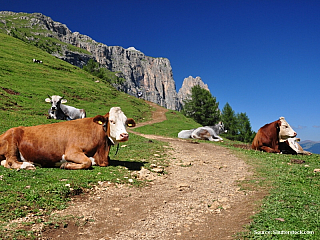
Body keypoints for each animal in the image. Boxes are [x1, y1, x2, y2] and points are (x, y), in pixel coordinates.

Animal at [0, 107, 136, 171]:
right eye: (112, 121)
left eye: (125, 122)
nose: (124, 135)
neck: (101, 151)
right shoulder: (71, 152)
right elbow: (87, 162)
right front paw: (66, 165)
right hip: (12, 141)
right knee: (11, 161)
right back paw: (28, 165)